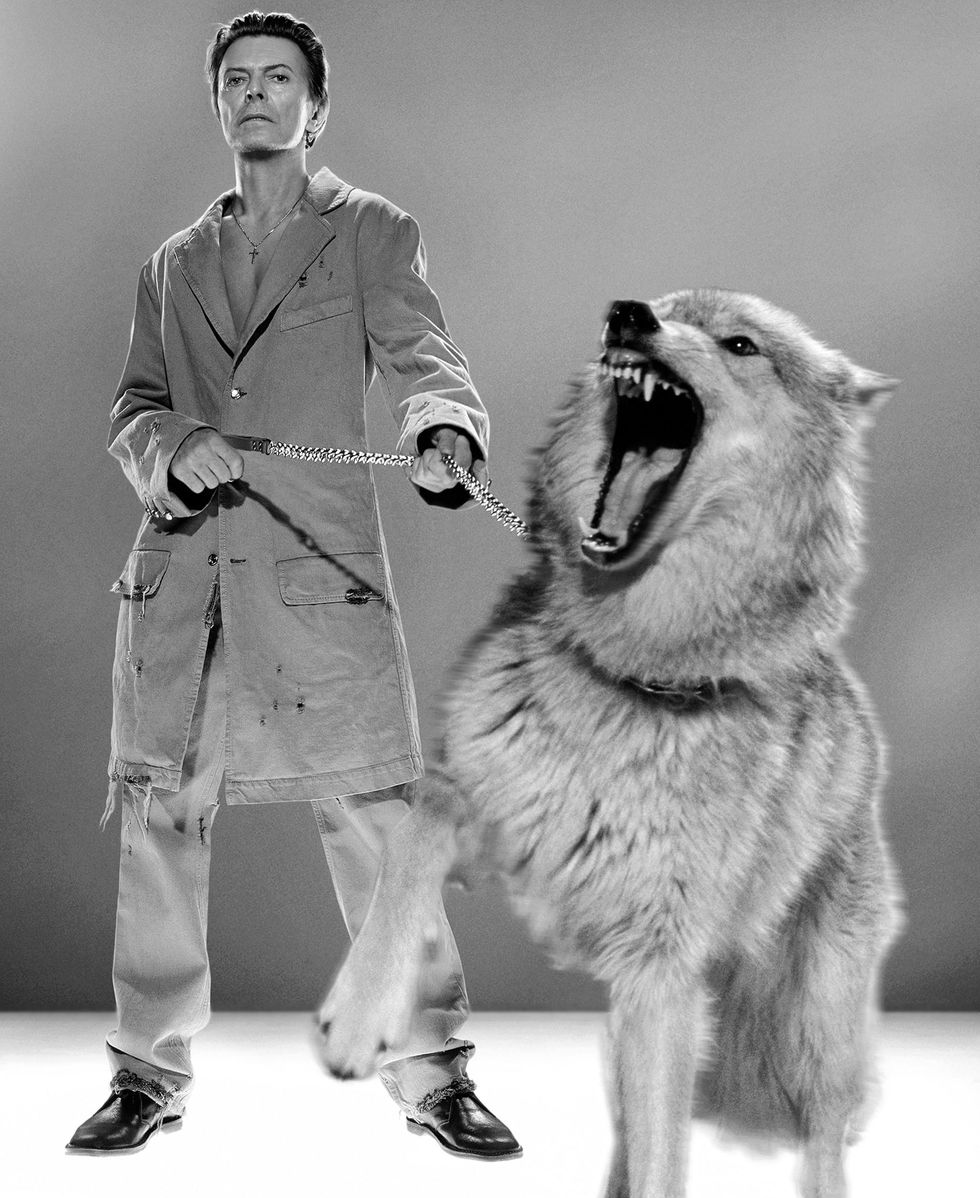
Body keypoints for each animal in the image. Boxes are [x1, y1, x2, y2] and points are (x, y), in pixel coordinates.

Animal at [317, 290, 902, 1198]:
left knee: (821, 1139)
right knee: (634, 1133)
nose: (627, 314)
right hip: (629, 1025)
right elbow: (410, 849)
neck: (635, 669)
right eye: (663, 307)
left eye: (741, 345)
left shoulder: (661, 967)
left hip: (808, 1028)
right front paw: (358, 1016)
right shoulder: (480, 813)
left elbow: (670, 1166)